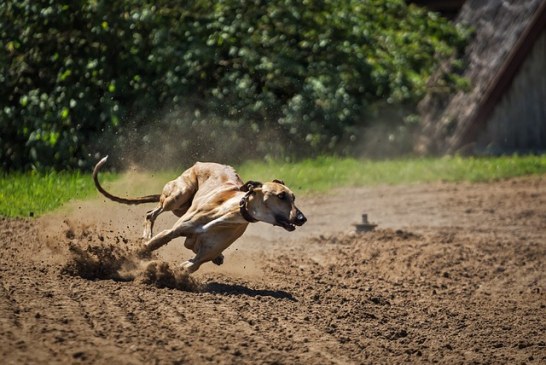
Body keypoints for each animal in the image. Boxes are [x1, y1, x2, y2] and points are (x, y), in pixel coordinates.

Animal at [93, 155, 306, 272]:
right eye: (281, 196)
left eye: (294, 197)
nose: (302, 219)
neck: (228, 212)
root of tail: (200, 163)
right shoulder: (172, 232)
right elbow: (153, 244)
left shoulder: (201, 256)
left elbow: (191, 264)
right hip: (178, 195)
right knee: (151, 213)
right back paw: (146, 235)